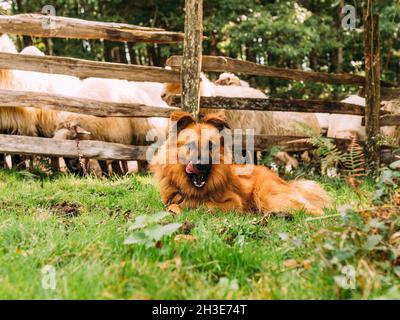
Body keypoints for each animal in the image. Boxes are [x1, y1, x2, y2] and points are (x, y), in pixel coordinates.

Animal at [150, 111, 332, 216]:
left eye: (211, 145)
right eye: (191, 145)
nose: (201, 165)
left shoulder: (234, 202)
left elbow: (204, 205)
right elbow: (174, 204)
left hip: (268, 196)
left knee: (315, 210)